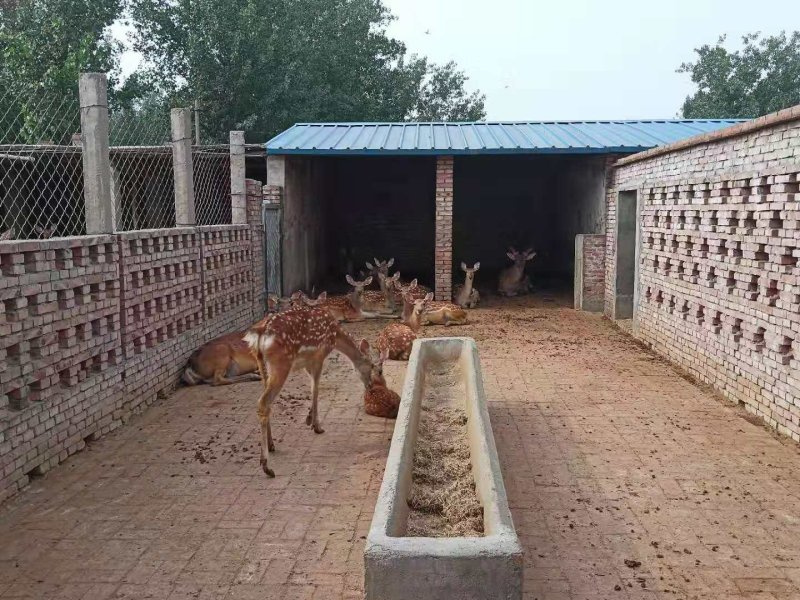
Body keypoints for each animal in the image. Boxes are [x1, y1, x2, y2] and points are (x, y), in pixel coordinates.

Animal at [243, 305, 389, 477]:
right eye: (378, 369)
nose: (371, 386)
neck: (335, 335)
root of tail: (259, 333)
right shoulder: (319, 355)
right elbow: (316, 388)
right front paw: (316, 425)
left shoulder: (308, 361)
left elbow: (312, 387)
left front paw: (309, 419)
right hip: (281, 362)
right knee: (263, 402)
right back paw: (266, 466)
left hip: (261, 363)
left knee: (267, 403)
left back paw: (271, 444)